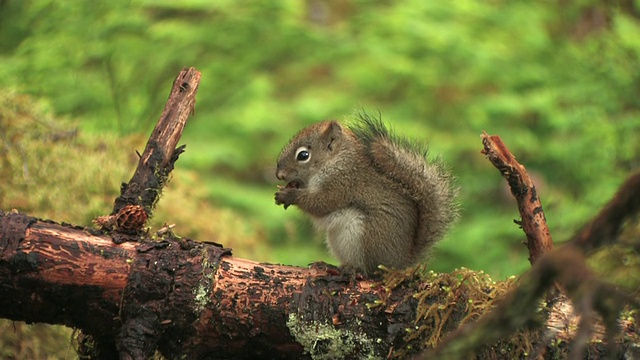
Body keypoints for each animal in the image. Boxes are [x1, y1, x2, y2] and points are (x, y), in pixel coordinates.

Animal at [272, 114, 458, 274]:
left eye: (303, 155)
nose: (279, 175)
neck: (336, 161)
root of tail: (401, 262)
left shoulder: (343, 184)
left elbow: (322, 203)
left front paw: (289, 195)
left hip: (365, 237)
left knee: (370, 270)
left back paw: (354, 270)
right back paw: (327, 265)